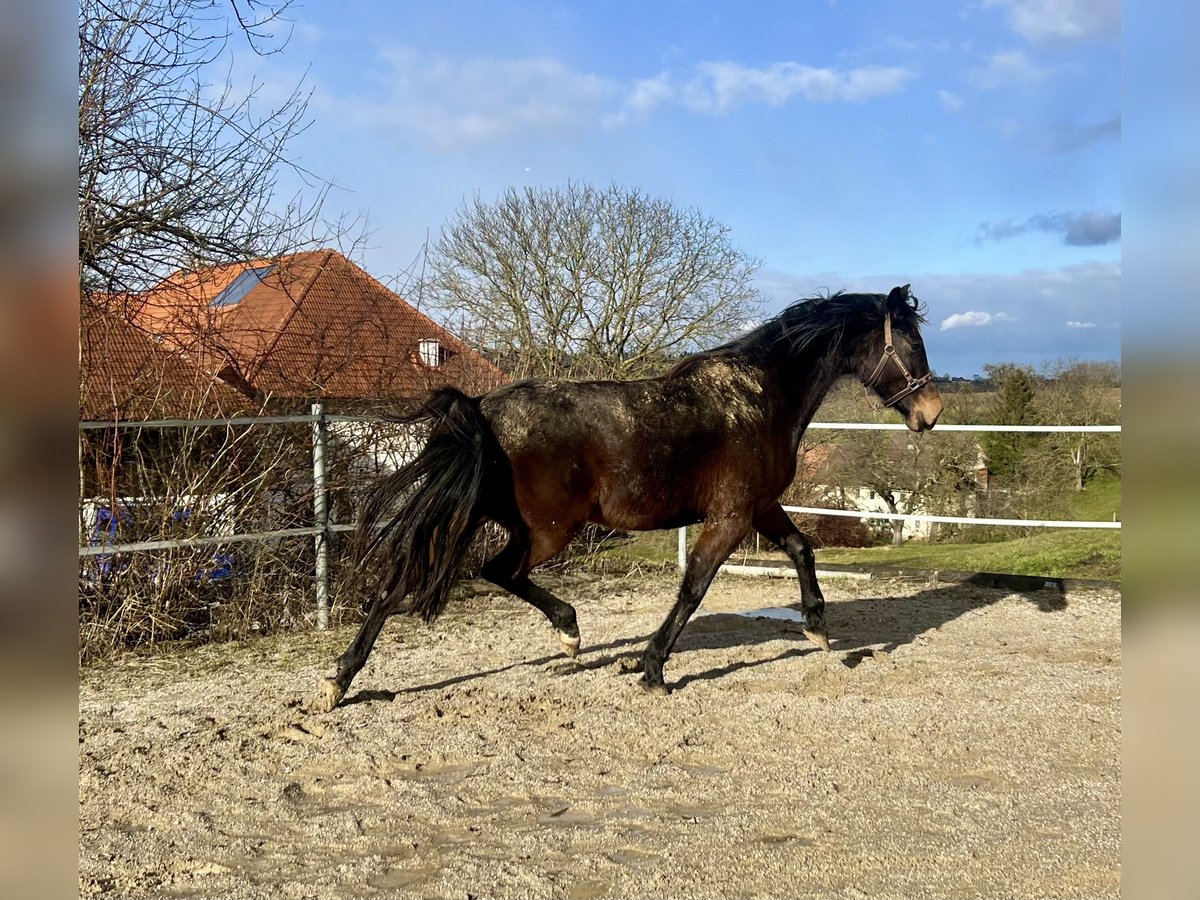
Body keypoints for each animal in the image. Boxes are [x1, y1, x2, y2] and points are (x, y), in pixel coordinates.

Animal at [314, 283, 940, 710]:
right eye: (911, 341)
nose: (931, 414)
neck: (761, 396)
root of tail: (482, 410)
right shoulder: (732, 516)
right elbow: (693, 589)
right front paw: (653, 669)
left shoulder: (760, 508)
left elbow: (802, 550)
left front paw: (817, 626)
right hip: (545, 530)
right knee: (492, 572)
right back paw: (567, 633)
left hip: (482, 518)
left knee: (404, 583)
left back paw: (340, 680)